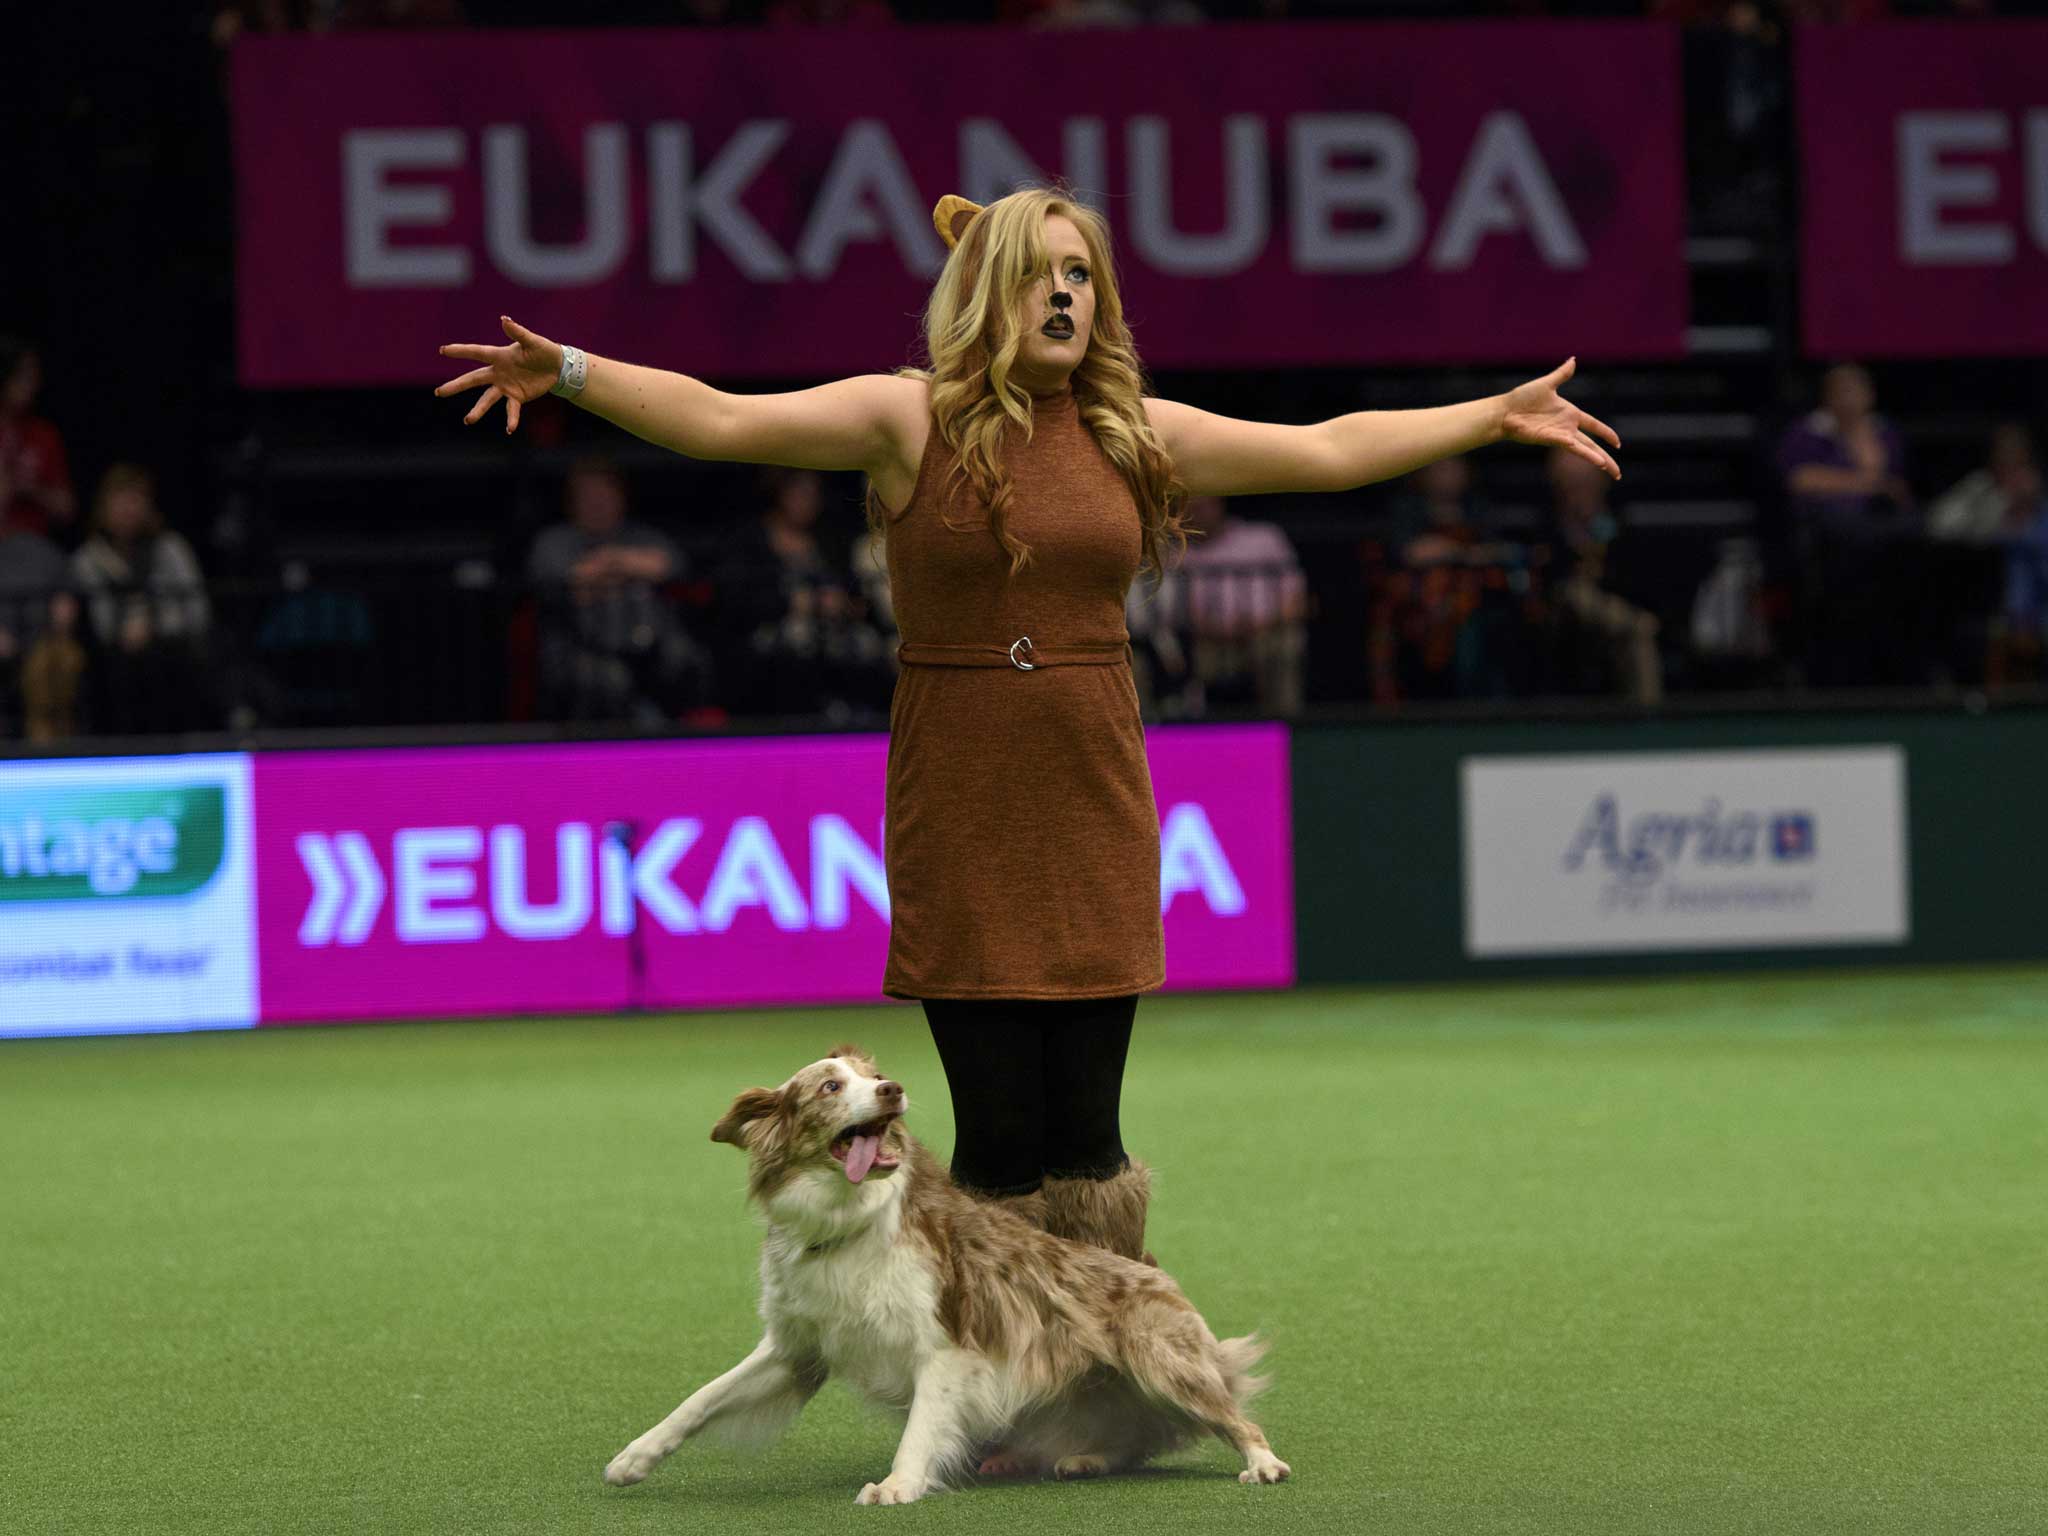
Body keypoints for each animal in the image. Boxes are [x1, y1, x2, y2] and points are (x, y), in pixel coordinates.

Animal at [598, 1040, 1286, 1507]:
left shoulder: (947, 1345)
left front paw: (899, 1484)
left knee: (1232, 1417)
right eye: (829, 1087)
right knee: (1134, 1435)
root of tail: (1153, 1272)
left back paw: (1262, 1463)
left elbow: (923, 1424)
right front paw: (634, 1459)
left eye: (875, 1079)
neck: (849, 1220)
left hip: (1160, 1358)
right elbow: (701, 1399)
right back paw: (1084, 1459)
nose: (893, 1089)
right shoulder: (797, 1347)